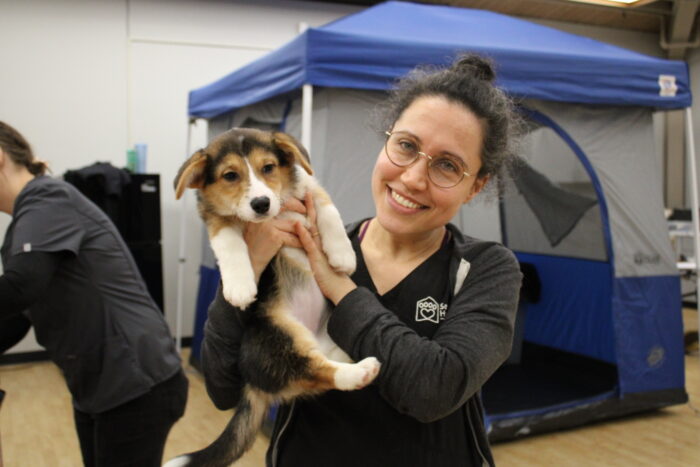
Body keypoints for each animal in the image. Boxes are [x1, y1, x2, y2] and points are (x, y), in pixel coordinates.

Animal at [167, 128, 380, 467]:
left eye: (268, 168)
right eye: (230, 175)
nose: (261, 204)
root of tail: (252, 383)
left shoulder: (310, 189)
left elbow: (328, 209)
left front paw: (342, 255)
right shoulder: (216, 220)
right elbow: (228, 242)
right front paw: (240, 287)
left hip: (323, 330)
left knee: (322, 362)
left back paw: (351, 357)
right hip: (278, 336)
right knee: (315, 373)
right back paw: (360, 371)